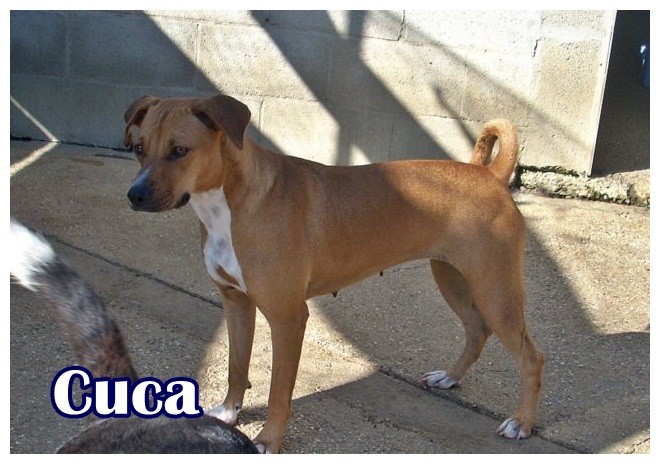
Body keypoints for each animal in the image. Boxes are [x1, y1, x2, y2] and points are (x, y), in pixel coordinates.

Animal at [124, 94, 545, 453]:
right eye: (138, 148)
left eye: (180, 150)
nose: (135, 195)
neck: (229, 203)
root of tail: (491, 175)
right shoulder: (236, 302)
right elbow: (236, 366)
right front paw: (229, 414)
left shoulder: (288, 318)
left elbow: (278, 393)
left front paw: (268, 440)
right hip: (453, 277)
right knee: (476, 330)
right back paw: (450, 377)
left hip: (495, 291)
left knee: (530, 358)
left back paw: (521, 423)